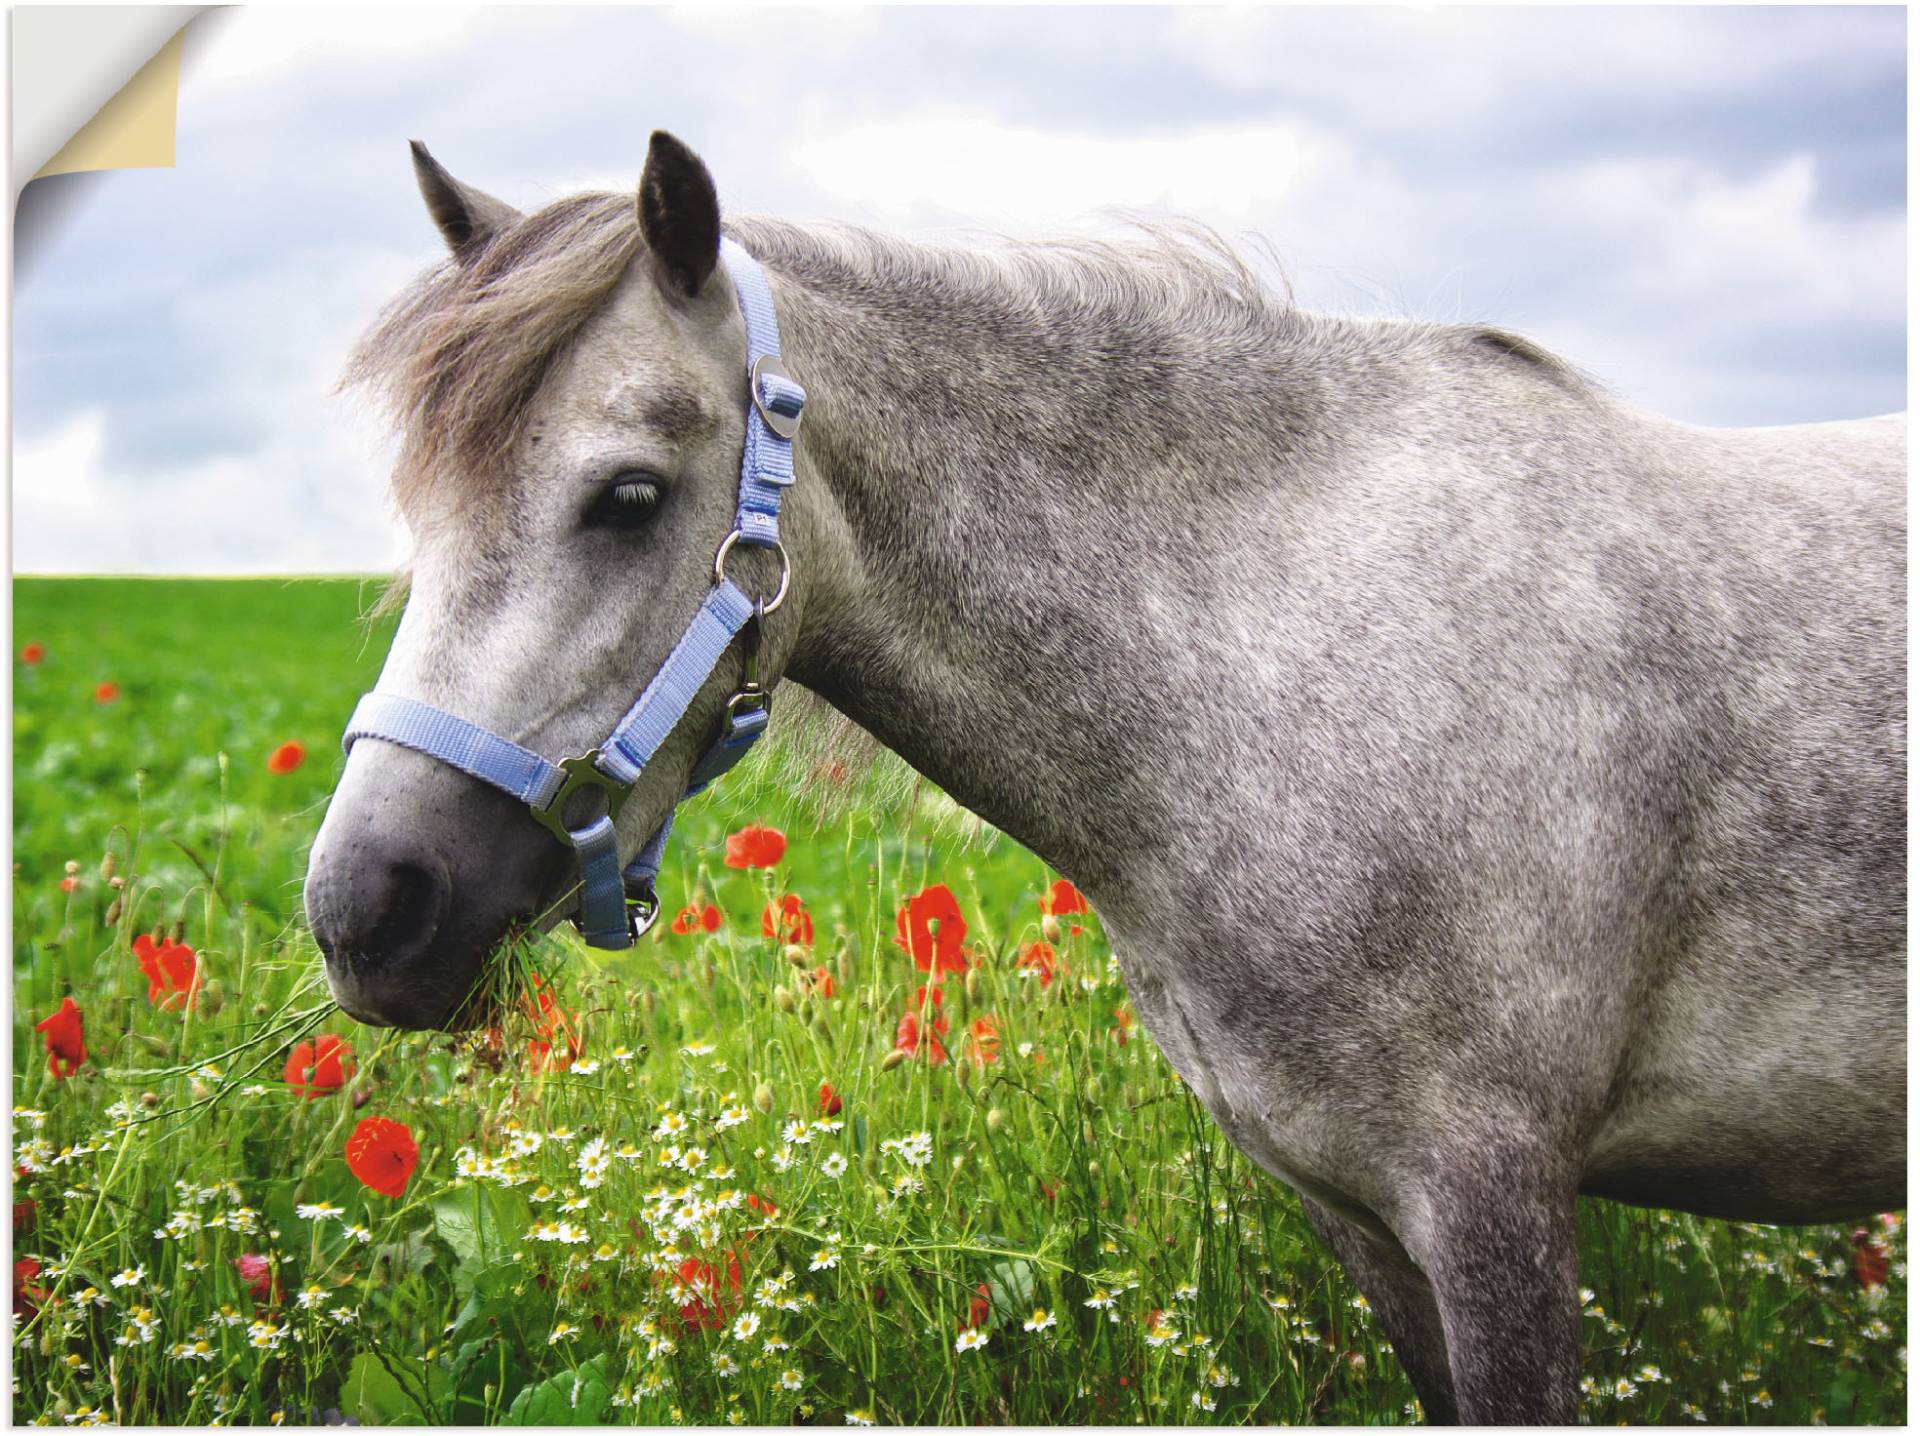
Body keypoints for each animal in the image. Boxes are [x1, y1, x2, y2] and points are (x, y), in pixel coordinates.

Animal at [303, 131, 1904, 1428]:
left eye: (629, 496)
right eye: (419, 506)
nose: (364, 910)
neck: (1281, 663)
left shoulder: (1494, 1198)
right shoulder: (1362, 1214)